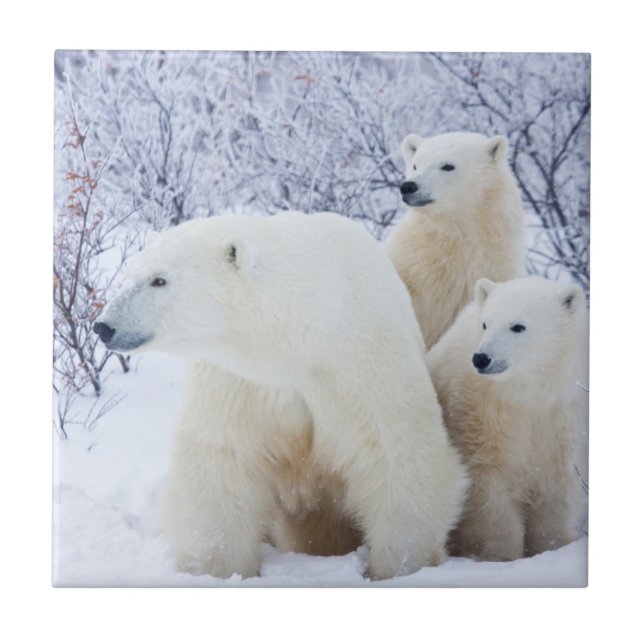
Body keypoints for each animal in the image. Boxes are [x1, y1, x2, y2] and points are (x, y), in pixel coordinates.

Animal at [94, 211, 468, 580]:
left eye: (159, 280)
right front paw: (219, 569)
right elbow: (221, 460)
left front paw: (401, 567)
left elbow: (396, 455)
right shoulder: (239, 382)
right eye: (128, 274)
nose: (103, 326)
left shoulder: (360, 364)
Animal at [426, 276, 588, 561]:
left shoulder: (562, 417)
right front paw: (501, 557)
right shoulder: (481, 416)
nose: (481, 358)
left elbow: (556, 488)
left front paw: (551, 547)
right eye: (485, 323)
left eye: (518, 326)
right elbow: (488, 487)